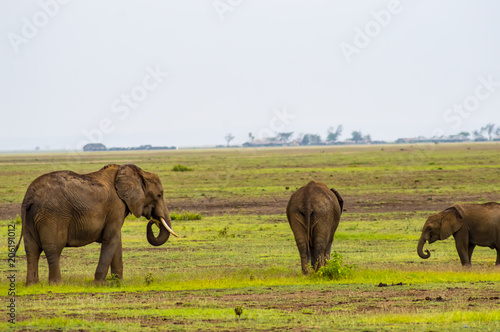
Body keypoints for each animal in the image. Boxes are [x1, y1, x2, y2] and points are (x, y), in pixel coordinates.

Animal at [14, 163, 178, 286]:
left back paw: (32, 285)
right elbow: (111, 239)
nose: (153, 220)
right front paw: (100, 284)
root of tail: (29, 196)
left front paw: (118, 283)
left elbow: (116, 241)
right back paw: (56, 285)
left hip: (30, 218)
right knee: (53, 248)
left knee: (31, 249)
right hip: (52, 215)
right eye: (159, 195)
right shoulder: (116, 207)